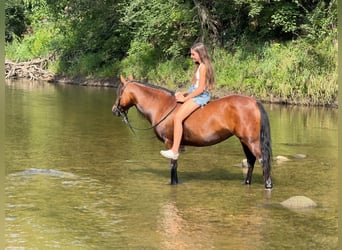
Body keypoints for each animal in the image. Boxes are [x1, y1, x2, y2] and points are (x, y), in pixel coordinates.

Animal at [112, 75, 272, 188]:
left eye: (120, 92)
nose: (114, 110)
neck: (163, 106)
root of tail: (254, 102)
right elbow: (176, 164)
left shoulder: (170, 142)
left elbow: (172, 164)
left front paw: (172, 183)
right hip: (244, 140)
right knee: (251, 161)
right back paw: (246, 183)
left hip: (251, 141)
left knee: (263, 160)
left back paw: (268, 185)